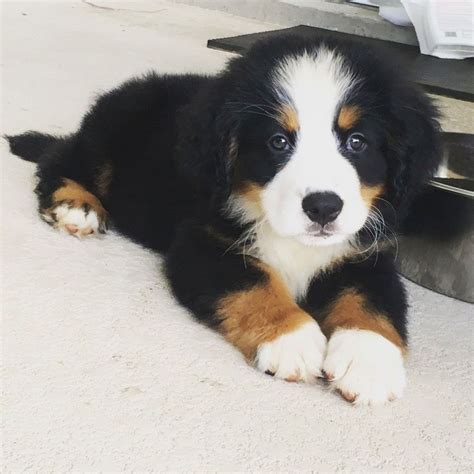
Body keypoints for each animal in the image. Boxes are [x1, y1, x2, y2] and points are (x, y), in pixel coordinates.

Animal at [9, 35, 442, 404]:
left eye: (357, 142)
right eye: (278, 142)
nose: (323, 207)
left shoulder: (366, 255)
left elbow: (372, 303)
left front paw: (368, 362)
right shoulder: (202, 243)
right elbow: (255, 283)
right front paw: (293, 339)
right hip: (106, 144)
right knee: (60, 158)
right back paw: (76, 205)